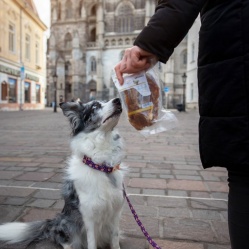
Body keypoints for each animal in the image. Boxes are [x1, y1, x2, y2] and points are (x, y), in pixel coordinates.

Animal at [0, 98, 125, 249]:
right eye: (95, 106)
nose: (118, 100)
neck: (101, 165)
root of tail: (53, 222)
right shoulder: (89, 216)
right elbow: (91, 242)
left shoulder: (116, 211)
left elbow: (115, 239)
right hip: (67, 223)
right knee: (63, 239)